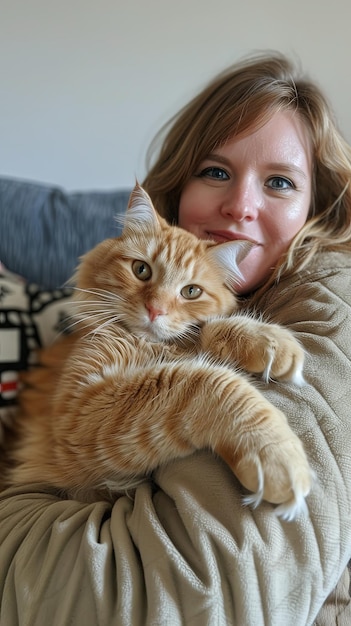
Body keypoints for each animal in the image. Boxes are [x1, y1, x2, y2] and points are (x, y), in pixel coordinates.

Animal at [6, 183, 312, 520]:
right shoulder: (80, 410)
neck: (147, 345)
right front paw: (278, 457)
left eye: (191, 291)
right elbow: (209, 381)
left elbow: (207, 329)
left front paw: (272, 341)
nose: (155, 310)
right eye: (141, 270)